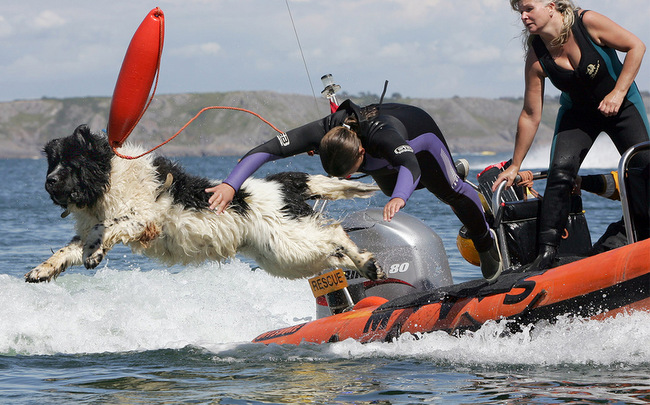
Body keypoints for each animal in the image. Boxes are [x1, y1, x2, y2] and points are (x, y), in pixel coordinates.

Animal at [25, 124, 385, 283]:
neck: (109, 178)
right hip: (285, 257)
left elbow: (105, 227)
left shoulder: (142, 218)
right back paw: (370, 266)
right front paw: (42, 270)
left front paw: (94, 254)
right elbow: (70, 247)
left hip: (288, 242)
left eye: (72, 162)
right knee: (335, 253)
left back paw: (367, 262)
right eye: (52, 162)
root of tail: (286, 183)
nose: (49, 182)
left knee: (335, 234)